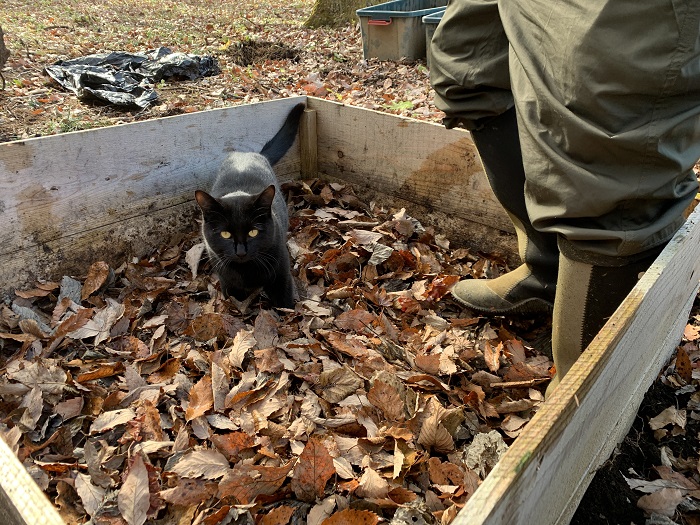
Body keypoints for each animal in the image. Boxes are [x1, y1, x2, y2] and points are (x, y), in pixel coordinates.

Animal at [194, 102, 304, 308]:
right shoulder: (227, 281)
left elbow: (284, 303)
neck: (246, 272)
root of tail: (249, 154)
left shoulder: (281, 275)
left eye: (253, 232)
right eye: (225, 234)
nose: (241, 251)